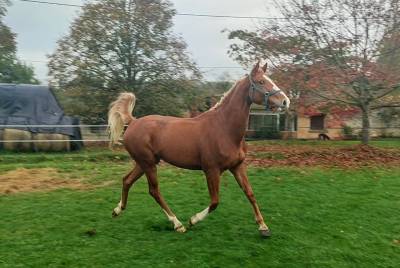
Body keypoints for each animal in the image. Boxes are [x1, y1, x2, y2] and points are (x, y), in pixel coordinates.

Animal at [109, 61, 290, 237]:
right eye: (261, 82)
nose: (285, 101)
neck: (224, 128)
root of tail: (133, 121)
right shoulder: (212, 170)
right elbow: (215, 201)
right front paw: (193, 220)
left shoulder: (237, 166)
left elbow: (250, 193)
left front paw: (263, 227)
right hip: (148, 164)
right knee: (154, 191)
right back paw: (178, 224)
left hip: (144, 163)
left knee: (127, 180)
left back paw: (117, 210)